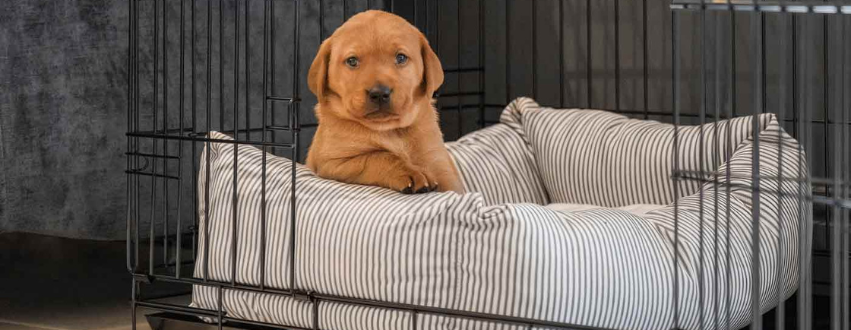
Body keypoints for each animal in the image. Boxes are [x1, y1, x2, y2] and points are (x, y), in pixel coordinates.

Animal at [306, 10, 466, 195]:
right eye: (352, 61)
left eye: (401, 57)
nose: (380, 93)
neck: (390, 130)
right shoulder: (332, 162)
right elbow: (379, 156)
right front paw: (411, 173)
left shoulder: (439, 163)